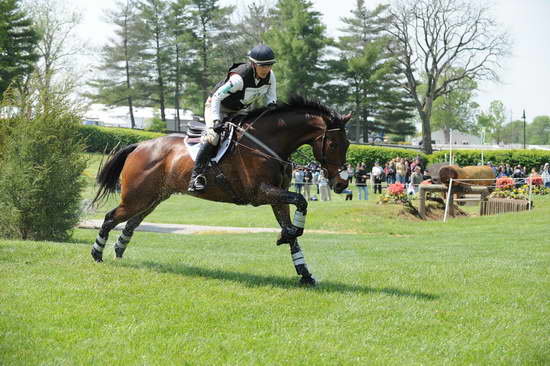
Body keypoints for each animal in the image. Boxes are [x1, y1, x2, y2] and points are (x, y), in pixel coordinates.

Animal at [89, 96, 352, 286]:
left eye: (348, 144)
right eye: (333, 144)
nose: (341, 184)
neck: (267, 144)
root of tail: (140, 145)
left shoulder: (277, 196)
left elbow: (293, 228)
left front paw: (304, 272)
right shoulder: (260, 193)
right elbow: (301, 201)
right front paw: (288, 237)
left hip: (152, 199)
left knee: (132, 222)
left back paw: (118, 250)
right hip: (137, 197)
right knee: (111, 217)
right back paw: (97, 254)